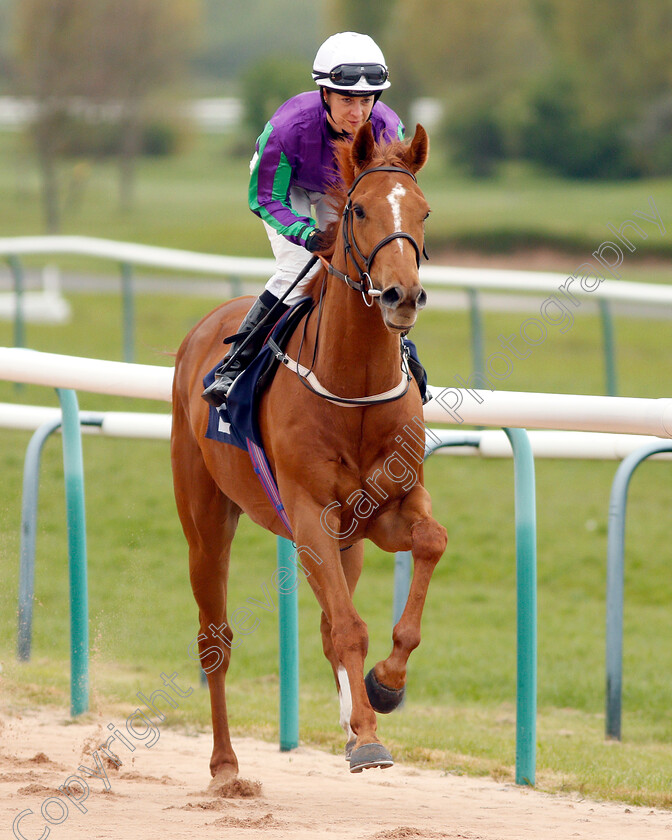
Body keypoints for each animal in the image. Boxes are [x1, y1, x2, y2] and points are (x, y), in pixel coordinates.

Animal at [171, 121, 448, 776]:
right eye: (359, 209)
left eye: (423, 211)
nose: (402, 295)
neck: (355, 388)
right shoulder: (308, 515)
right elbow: (347, 627)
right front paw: (368, 734)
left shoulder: (384, 510)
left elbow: (430, 542)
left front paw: (384, 688)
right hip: (206, 522)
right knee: (215, 637)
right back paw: (226, 767)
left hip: (348, 541)